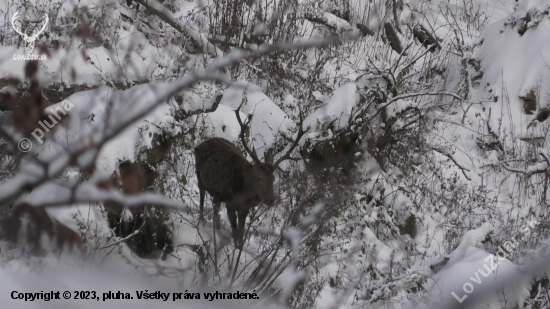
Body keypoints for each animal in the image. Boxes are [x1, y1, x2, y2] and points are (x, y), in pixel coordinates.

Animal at [195, 107, 308, 247]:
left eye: (273, 179)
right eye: (259, 178)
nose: (271, 200)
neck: (245, 193)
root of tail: (199, 145)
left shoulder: (244, 209)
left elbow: (241, 234)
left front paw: (238, 248)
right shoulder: (230, 203)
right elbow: (235, 232)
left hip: (217, 194)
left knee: (215, 209)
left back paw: (217, 229)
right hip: (199, 175)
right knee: (202, 195)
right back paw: (202, 222)